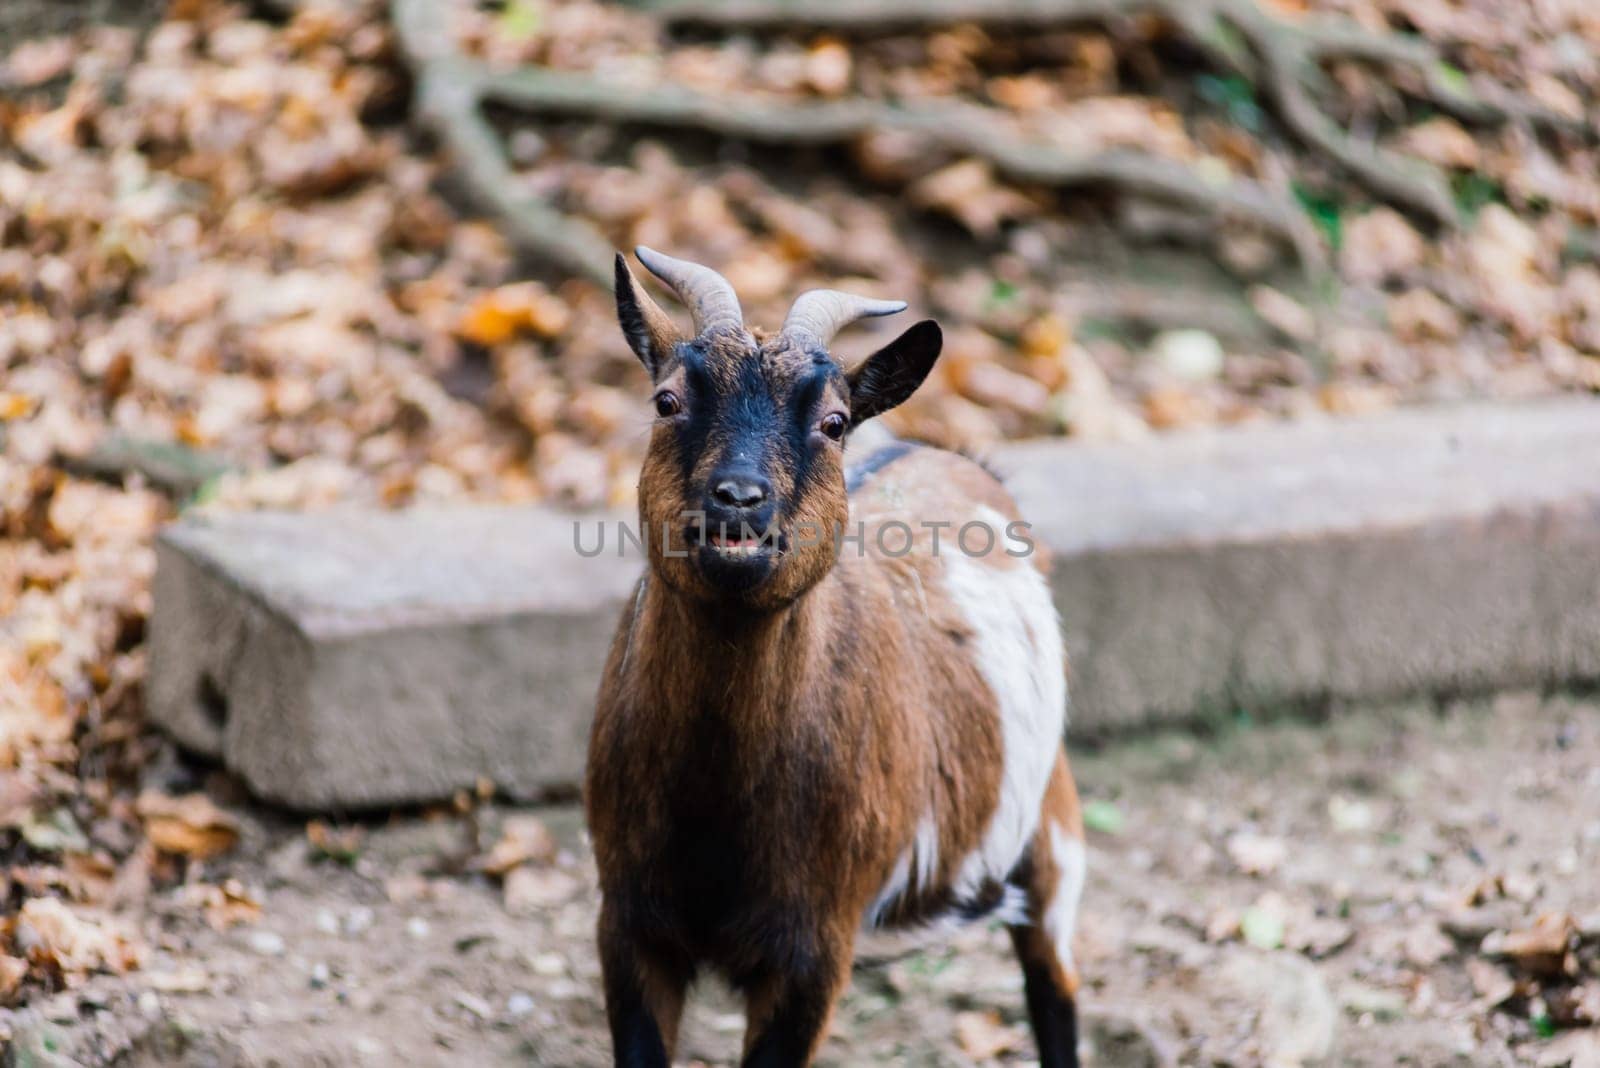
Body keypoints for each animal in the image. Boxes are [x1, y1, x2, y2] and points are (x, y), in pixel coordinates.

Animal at [588, 247, 1088, 1068]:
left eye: (833, 421)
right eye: (666, 401)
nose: (739, 499)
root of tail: (945, 452)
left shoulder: (815, 951)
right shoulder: (628, 924)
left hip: (1051, 820)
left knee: (1054, 980)